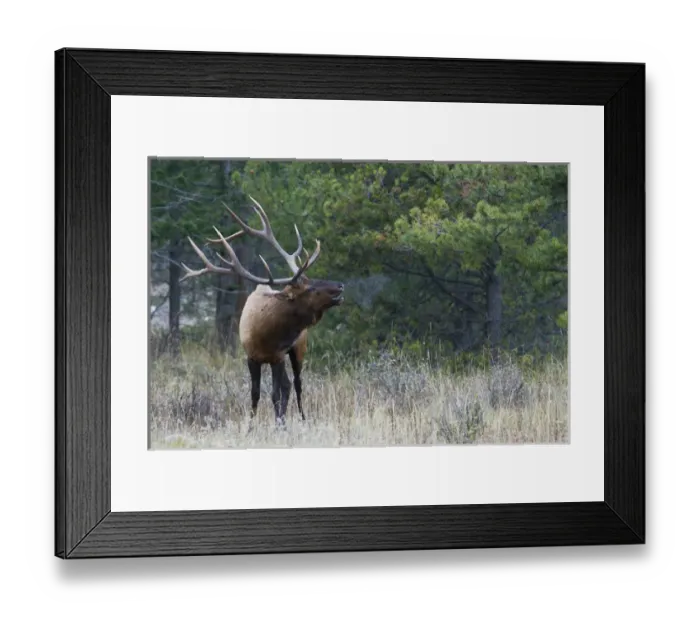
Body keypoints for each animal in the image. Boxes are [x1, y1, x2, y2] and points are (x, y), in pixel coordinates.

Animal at [180, 196, 345, 428]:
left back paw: (302, 418)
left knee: (297, 385)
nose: (340, 285)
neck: (266, 334)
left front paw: (279, 424)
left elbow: (276, 393)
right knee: (288, 385)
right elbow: (255, 394)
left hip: (298, 349)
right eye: (311, 288)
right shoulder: (252, 357)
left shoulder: (278, 356)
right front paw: (251, 426)